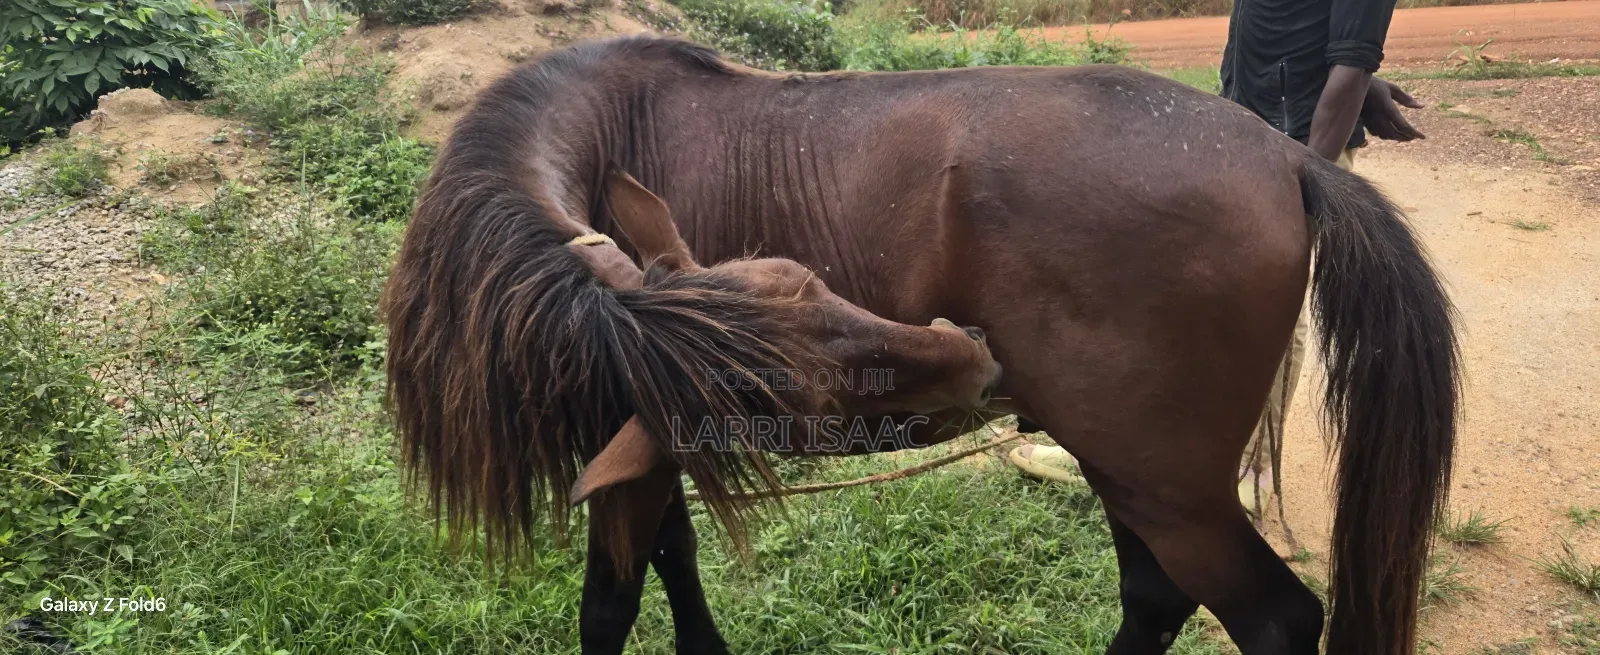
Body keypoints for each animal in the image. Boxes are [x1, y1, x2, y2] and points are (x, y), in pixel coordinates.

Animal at [382, 37, 1458, 655]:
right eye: (787, 399)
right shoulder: (648, 437)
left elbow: (609, 602)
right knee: (1153, 599)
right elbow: (673, 558)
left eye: (812, 280)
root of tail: (1284, 156)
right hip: (1127, 467)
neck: (596, 128)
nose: (971, 355)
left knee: (1273, 619)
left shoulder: (629, 450)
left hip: (1169, 487)